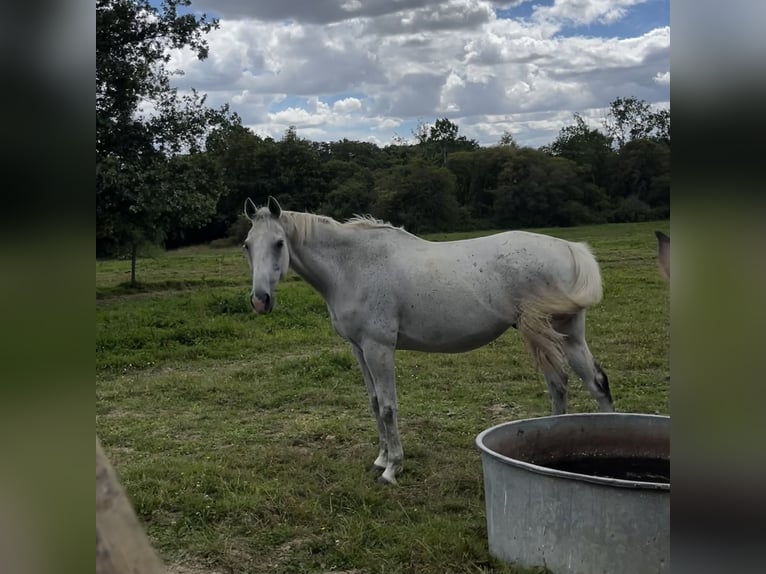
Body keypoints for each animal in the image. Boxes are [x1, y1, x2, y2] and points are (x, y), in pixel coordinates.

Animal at [243, 197, 616, 486]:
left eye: (278, 243)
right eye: (247, 245)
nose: (260, 300)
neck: (351, 266)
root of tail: (568, 248)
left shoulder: (379, 348)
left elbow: (388, 406)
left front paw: (392, 469)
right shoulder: (359, 349)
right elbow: (374, 403)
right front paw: (381, 459)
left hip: (545, 332)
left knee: (569, 382)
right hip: (566, 335)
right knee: (586, 382)